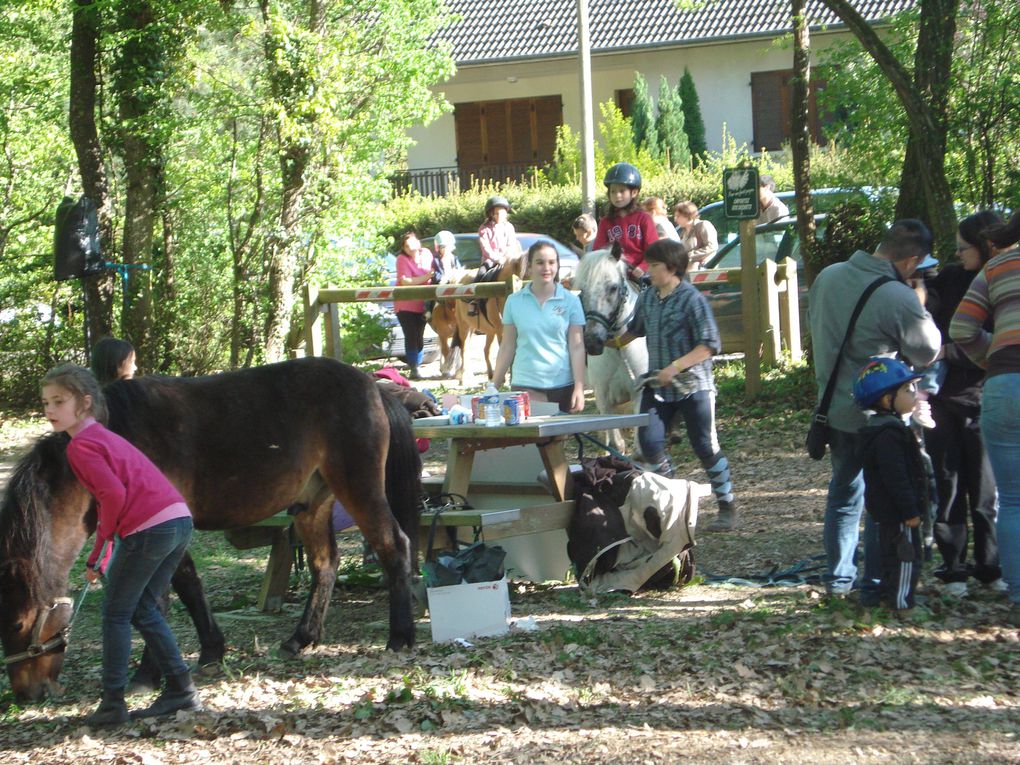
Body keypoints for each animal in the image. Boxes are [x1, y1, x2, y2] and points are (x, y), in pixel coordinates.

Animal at [0, 357, 422, 705]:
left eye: (18, 623)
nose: (24, 693)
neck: (116, 436)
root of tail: (373, 387)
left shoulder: (159, 529)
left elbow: (163, 594)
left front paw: (150, 674)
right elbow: (178, 589)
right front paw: (209, 651)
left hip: (359, 488)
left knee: (394, 546)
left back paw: (400, 636)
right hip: (312, 505)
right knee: (325, 564)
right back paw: (301, 638)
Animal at [428, 255, 530, 383]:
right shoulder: (501, 330)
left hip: (485, 330)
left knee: (486, 350)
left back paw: (490, 374)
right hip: (465, 327)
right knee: (465, 348)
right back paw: (465, 375)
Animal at [575, 243, 644, 454]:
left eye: (613, 288)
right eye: (582, 290)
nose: (592, 341)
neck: (620, 349)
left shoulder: (639, 396)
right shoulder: (604, 398)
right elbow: (616, 443)